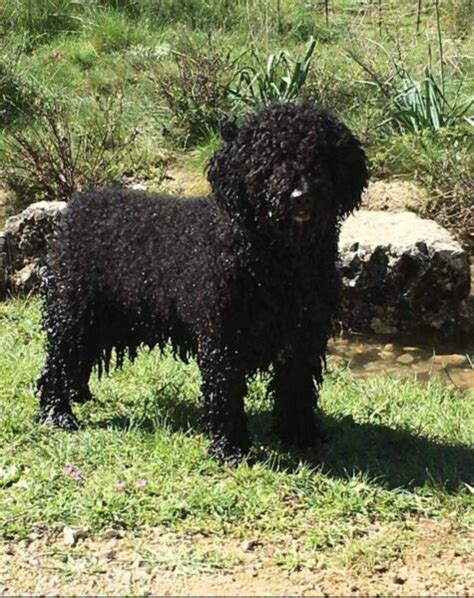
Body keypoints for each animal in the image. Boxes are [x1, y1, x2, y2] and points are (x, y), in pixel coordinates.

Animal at [39, 104, 368, 464]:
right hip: (73, 311)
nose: (301, 197)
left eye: (320, 155)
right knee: (57, 364)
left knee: (77, 360)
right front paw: (230, 449)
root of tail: (76, 206)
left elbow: (297, 390)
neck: (279, 261)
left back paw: (79, 396)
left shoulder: (304, 336)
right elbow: (226, 394)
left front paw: (301, 437)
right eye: (268, 159)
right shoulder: (223, 337)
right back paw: (58, 414)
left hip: (100, 317)